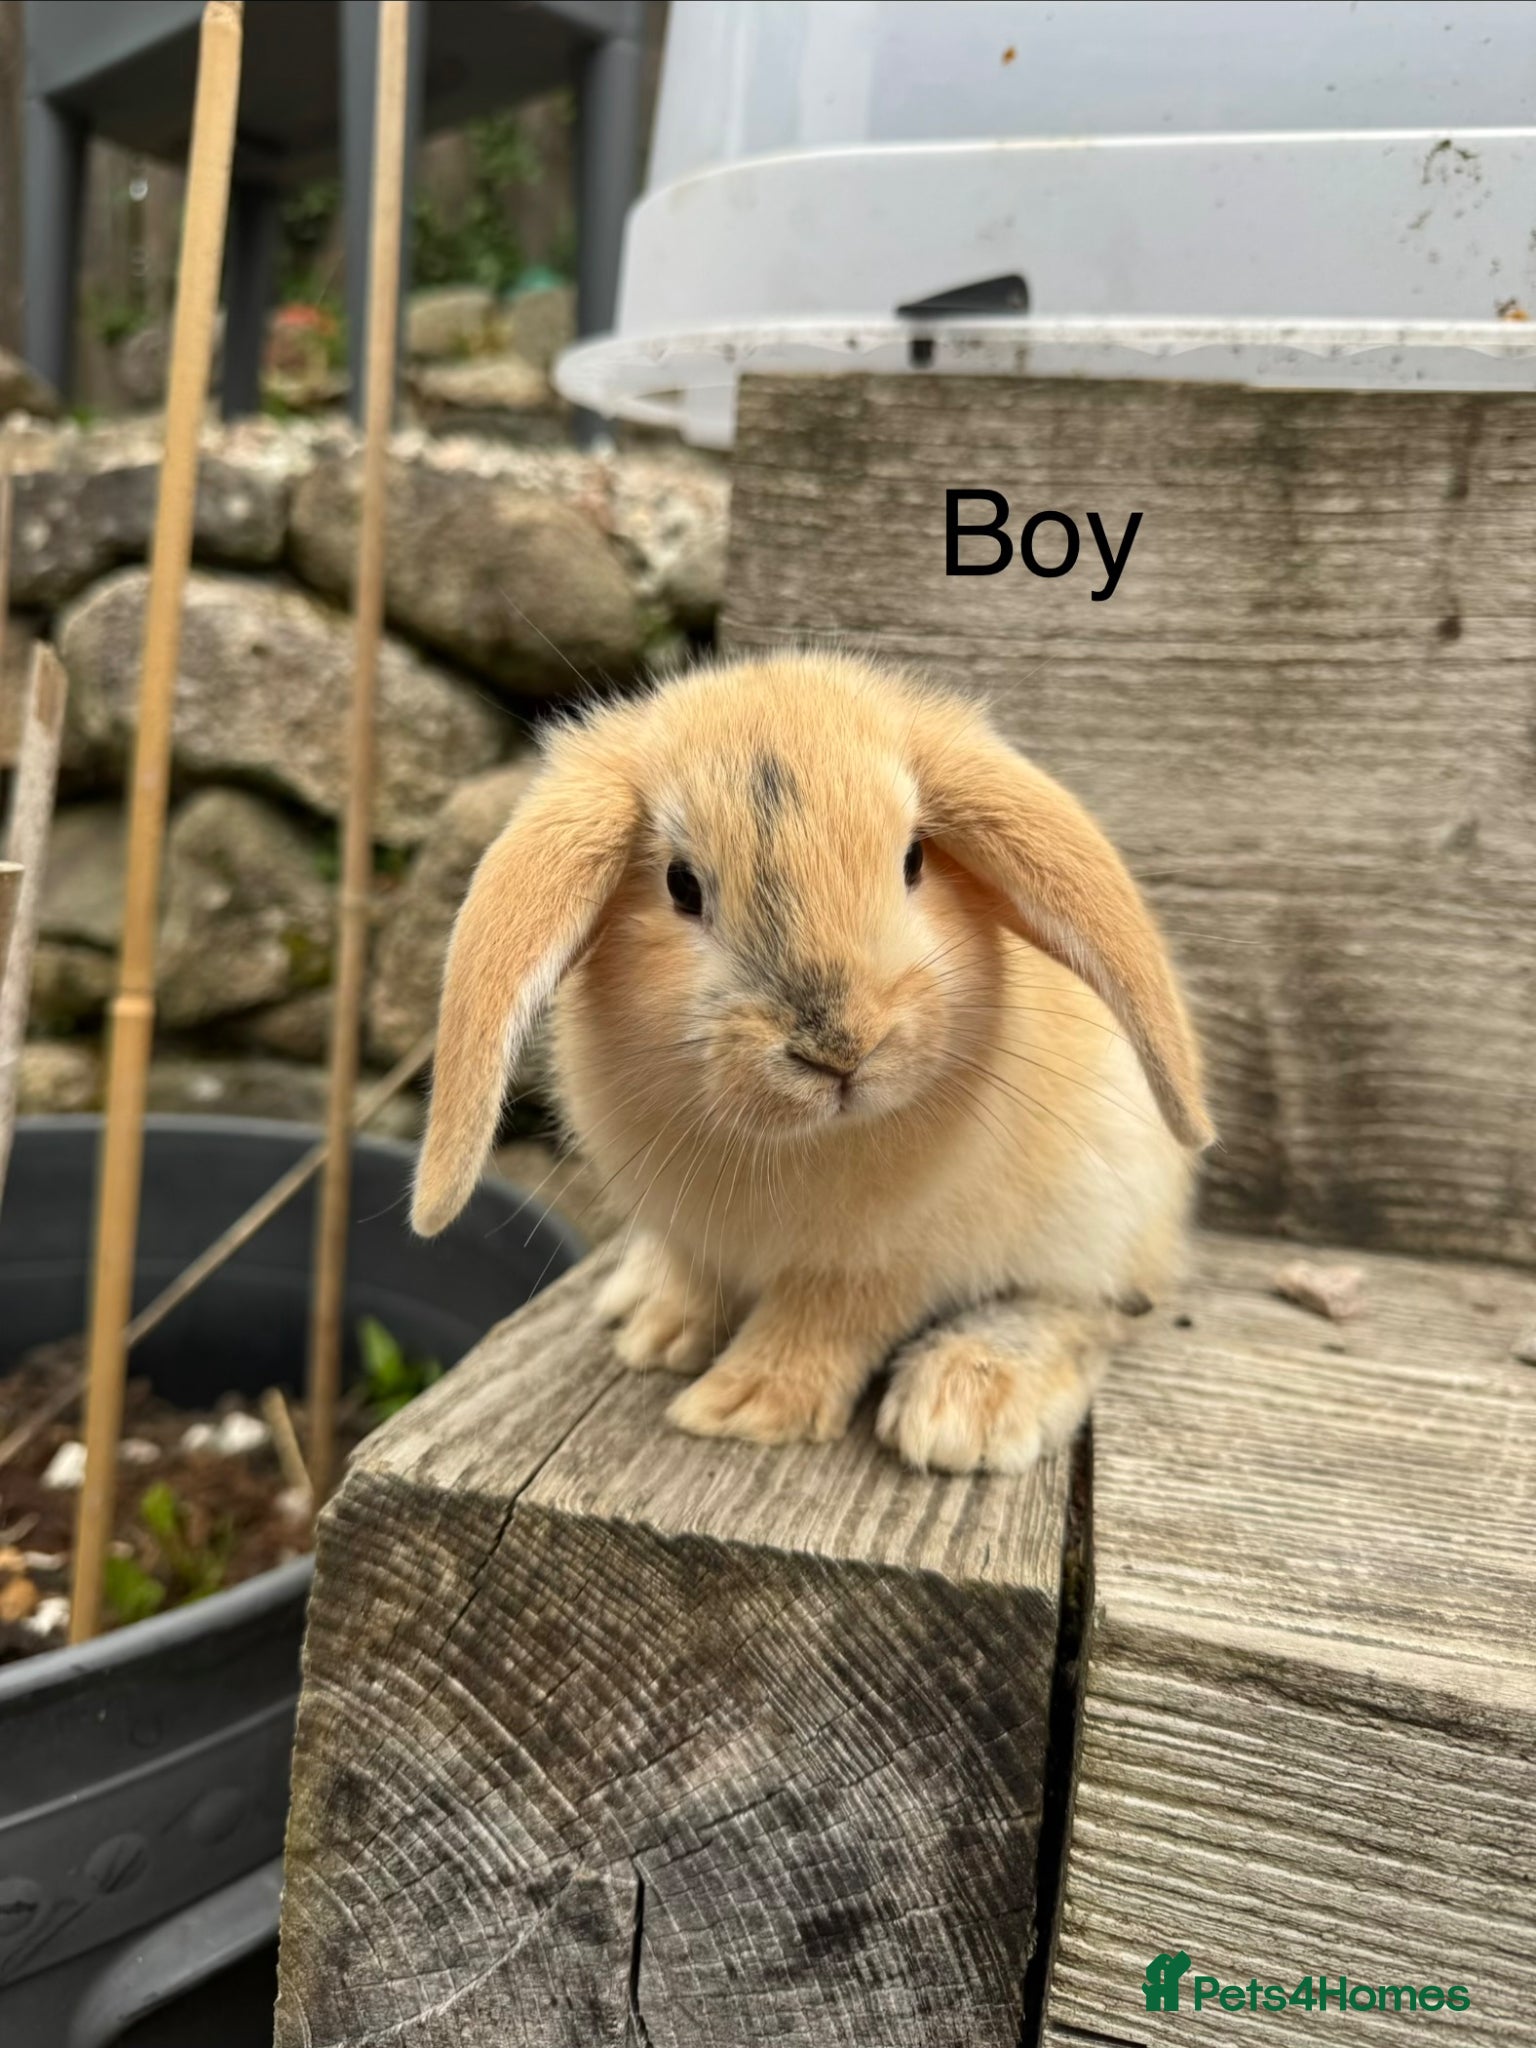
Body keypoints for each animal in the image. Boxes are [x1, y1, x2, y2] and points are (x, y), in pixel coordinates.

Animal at [412, 650, 1211, 1474]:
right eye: (681, 884)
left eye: (914, 859)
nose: (840, 1049)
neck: (804, 1142)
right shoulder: (694, 1238)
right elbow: (699, 1281)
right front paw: (663, 1339)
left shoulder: (878, 1266)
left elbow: (821, 1325)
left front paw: (742, 1408)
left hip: (1106, 1210)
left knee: (1092, 1309)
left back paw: (966, 1408)